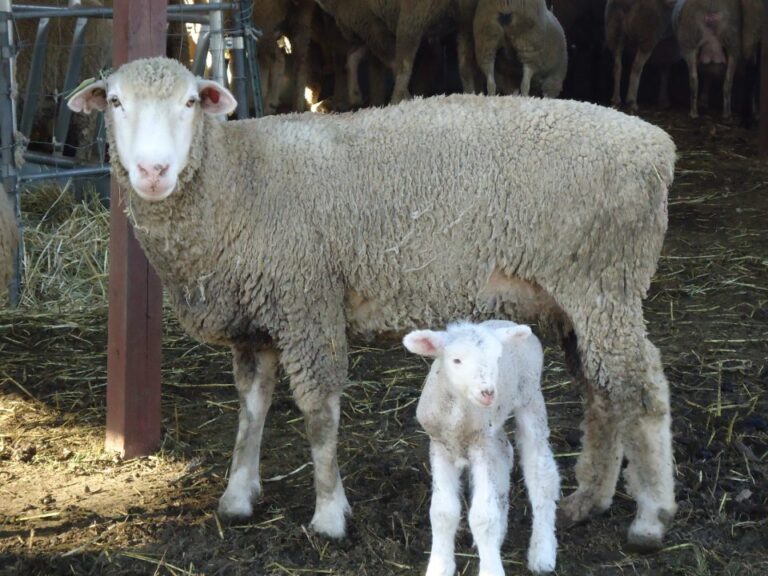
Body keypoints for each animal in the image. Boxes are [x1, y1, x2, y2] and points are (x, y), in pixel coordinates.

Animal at [68, 56, 677, 547]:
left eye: (191, 102)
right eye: (115, 102)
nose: (152, 172)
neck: (240, 178)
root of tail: (657, 146)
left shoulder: (306, 301)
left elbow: (318, 413)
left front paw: (330, 514)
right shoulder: (258, 321)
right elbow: (251, 406)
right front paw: (238, 496)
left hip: (605, 283)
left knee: (644, 388)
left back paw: (651, 516)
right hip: (578, 298)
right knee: (603, 392)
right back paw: (587, 501)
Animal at [404, 320, 559, 575]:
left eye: (497, 358)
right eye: (456, 360)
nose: (488, 393)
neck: (458, 414)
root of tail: (506, 322)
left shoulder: (481, 448)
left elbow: (483, 518)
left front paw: (491, 568)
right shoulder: (440, 446)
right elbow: (442, 512)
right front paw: (439, 566)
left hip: (530, 395)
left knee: (542, 473)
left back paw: (543, 551)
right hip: (494, 428)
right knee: (505, 453)